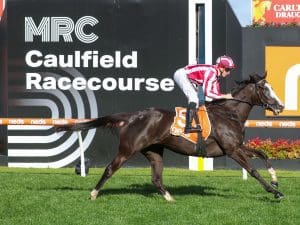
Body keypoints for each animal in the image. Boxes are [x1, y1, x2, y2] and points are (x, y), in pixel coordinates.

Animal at [57, 73, 284, 200]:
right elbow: (253, 170)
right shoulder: (232, 150)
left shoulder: (237, 146)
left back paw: (170, 198)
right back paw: (94, 193)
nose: (280, 106)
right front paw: (275, 192)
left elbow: (263, 154)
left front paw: (275, 180)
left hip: (154, 151)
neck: (229, 113)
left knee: (156, 178)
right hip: (127, 149)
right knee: (110, 169)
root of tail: (133, 116)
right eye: (264, 88)